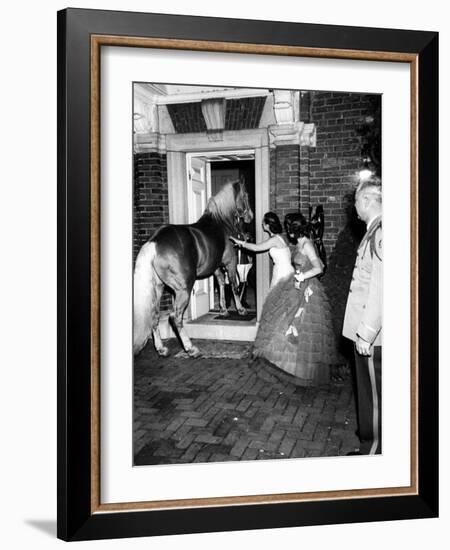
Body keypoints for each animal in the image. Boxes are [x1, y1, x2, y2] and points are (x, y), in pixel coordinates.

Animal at [134, 178, 253, 358]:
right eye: (245, 195)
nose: (250, 217)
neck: (220, 222)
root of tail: (154, 242)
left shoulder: (215, 267)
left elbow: (221, 284)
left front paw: (223, 310)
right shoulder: (230, 262)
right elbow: (233, 285)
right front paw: (240, 309)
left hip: (159, 287)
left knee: (154, 316)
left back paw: (161, 349)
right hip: (183, 289)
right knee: (175, 317)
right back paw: (190, 348)